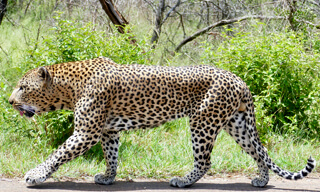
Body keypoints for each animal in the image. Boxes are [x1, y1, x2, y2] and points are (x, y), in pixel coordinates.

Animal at [9, 56, 316, 188]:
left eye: (23, 87)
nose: (10, 102)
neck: (68, 88)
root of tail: (240, 80)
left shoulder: (87, 132)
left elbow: (57, 154)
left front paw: (35, 175)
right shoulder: (107, 131)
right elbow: (111, 156)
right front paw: (108, 177)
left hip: (203, 121)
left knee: (205, 161)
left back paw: (183, 181)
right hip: (237, 123)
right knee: (259, 153)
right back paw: (261, 180)